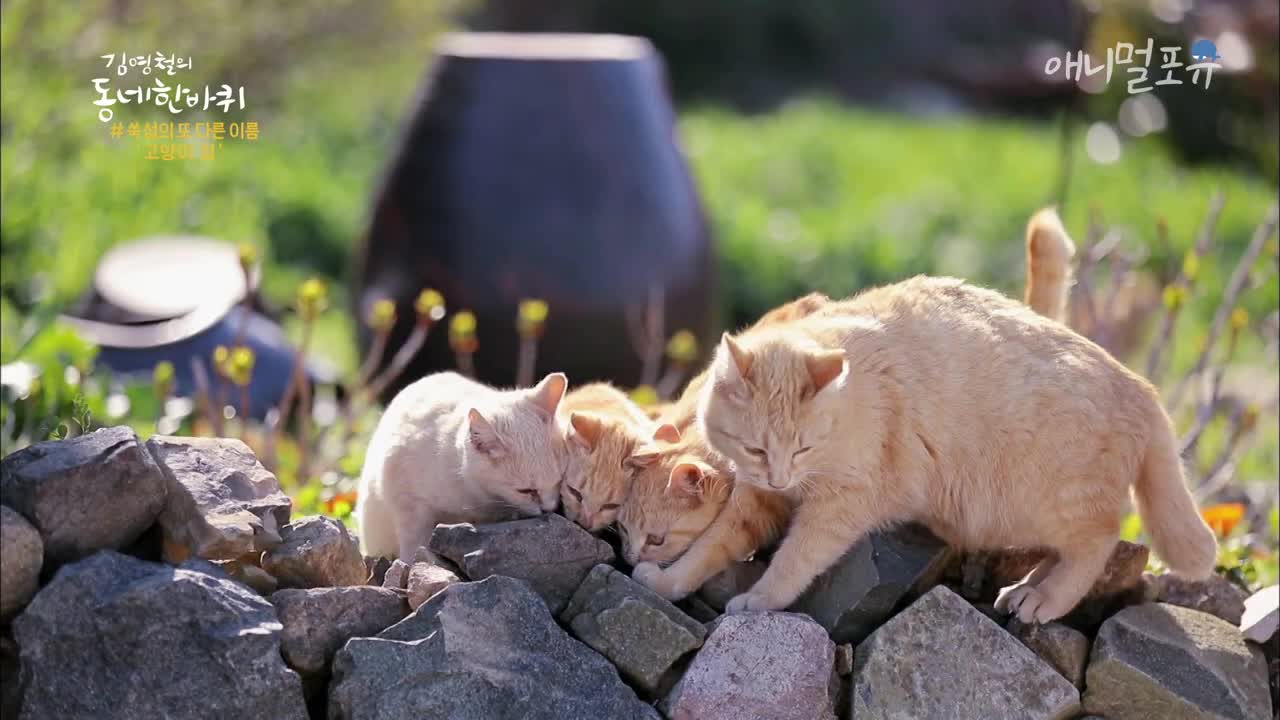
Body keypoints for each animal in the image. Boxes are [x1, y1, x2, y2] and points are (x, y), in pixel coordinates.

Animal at [696, 271, 1213, 620]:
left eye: (802, 448)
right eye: (756, 450)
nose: (779, 477)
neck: (852, 397)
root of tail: (1143, 388)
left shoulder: (842, 505)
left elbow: (793, 560)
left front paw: (760, 599)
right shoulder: (757, 490)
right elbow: (712, 544)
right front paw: (679, 579)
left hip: (1046, 504)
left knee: (1097, 543)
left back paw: (1046, 598)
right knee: (1065, 551)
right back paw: (1027, 588)